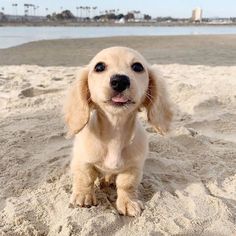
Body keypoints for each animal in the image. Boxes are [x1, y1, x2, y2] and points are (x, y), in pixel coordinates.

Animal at [63, 47, 172, 217]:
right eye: (99, 67)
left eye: (137, 67)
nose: (120, 81)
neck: (115, 129)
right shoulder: (82, 161)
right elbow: (85, 178)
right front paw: (83, 196)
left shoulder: (133, 168)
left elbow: (126, 185)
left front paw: (128, 202)